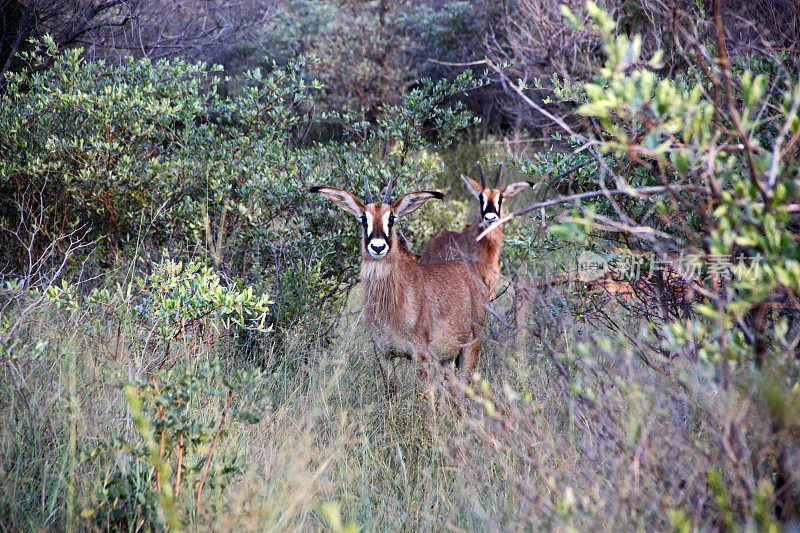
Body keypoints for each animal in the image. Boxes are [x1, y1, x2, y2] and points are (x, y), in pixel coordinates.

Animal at [310, 175, 488, 386]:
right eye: (363, 218)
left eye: (391, 218)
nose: (378, 247)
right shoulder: (383, 354)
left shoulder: (420, 355)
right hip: (446, 359)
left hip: (470, 348)